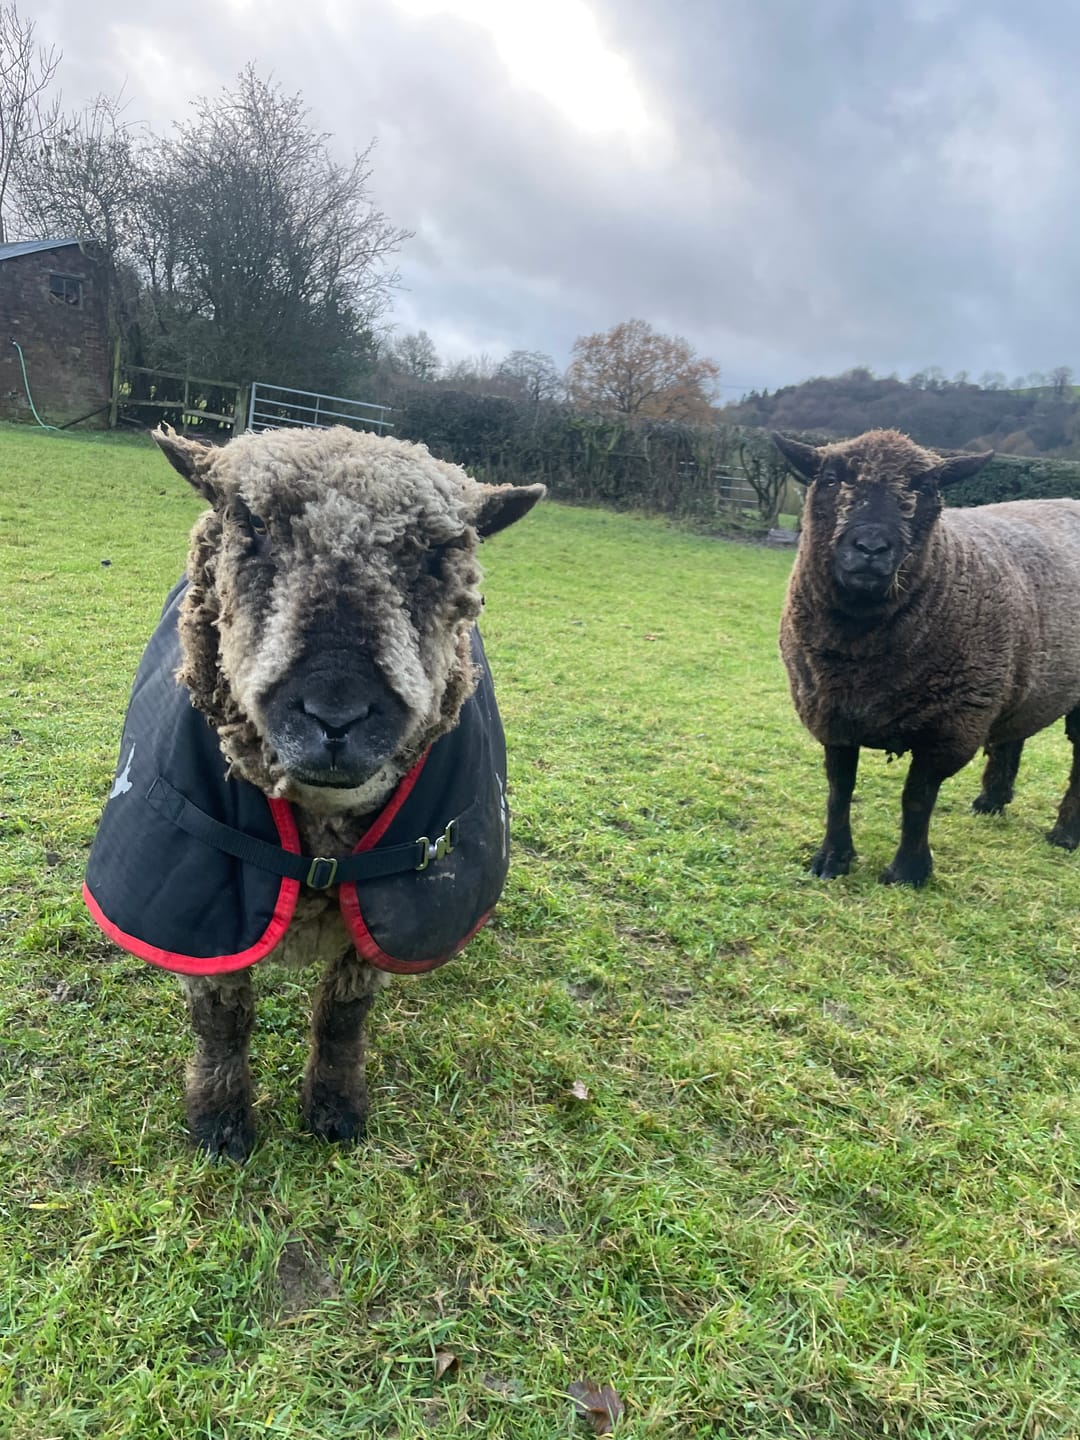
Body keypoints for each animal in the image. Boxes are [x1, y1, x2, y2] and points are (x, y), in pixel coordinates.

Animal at [84, 423, 544, 1159]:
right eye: (250, 523)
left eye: (438, 553)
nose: (335, 715)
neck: (323, 833)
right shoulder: (203, 904)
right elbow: (223, 1019)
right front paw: (221, 1122)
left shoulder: (384, 909)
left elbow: (342, 1015)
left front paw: (334, 1108)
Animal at [773, 427, 1080, 887]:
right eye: (829, 479)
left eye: (925, 488)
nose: (870, 547)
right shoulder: (831, 714)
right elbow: (839, 788)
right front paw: (832, 859)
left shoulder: (950, 727)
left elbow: (917, 799)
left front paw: (908, 872)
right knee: (1014, 731)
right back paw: (991, 802)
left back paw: (1065, 834)